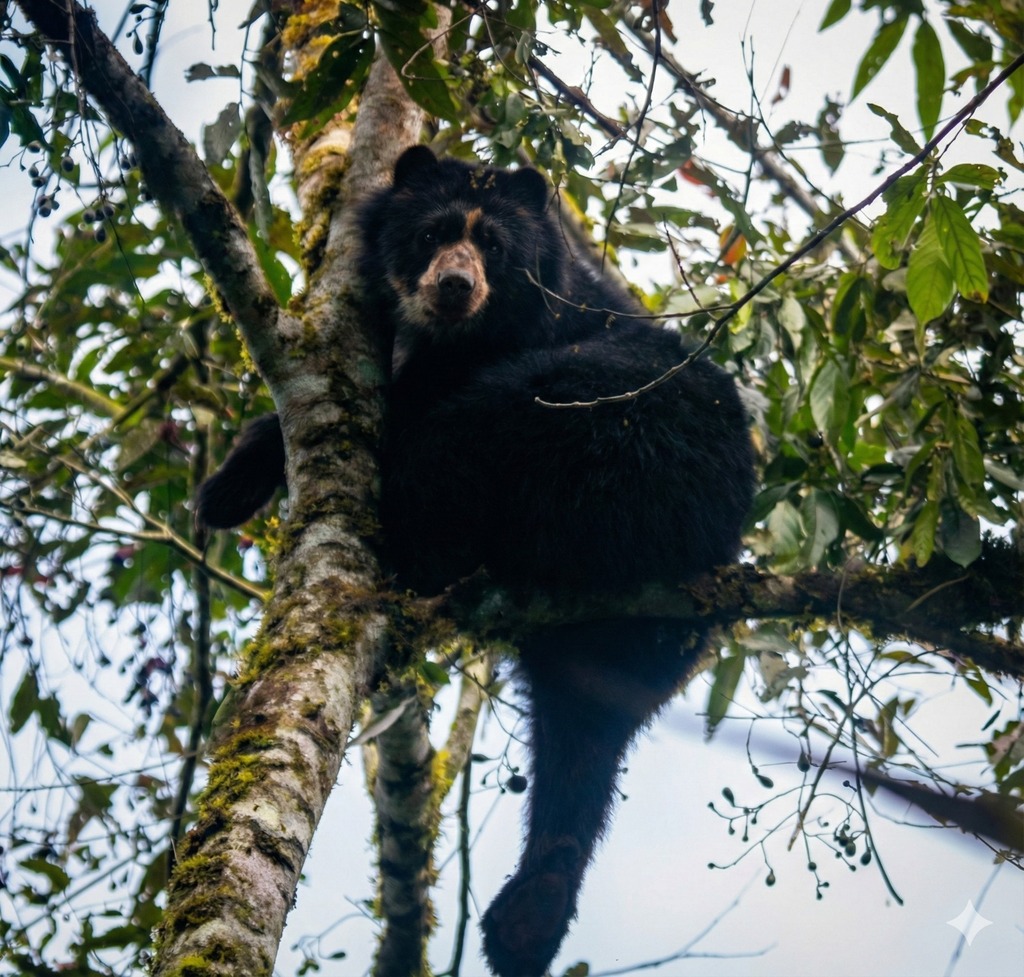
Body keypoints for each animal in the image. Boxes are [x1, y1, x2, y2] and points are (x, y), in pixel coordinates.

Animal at [196, 145, 756, 977]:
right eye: (431, 233)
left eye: (492, 244)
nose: (455, 285)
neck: (463, 335)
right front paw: (226, 490)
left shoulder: (528, 340)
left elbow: (408, 401)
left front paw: (239, 473)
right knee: (578, 753)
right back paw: (528, 917)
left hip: (605, 424)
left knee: (471, 441)